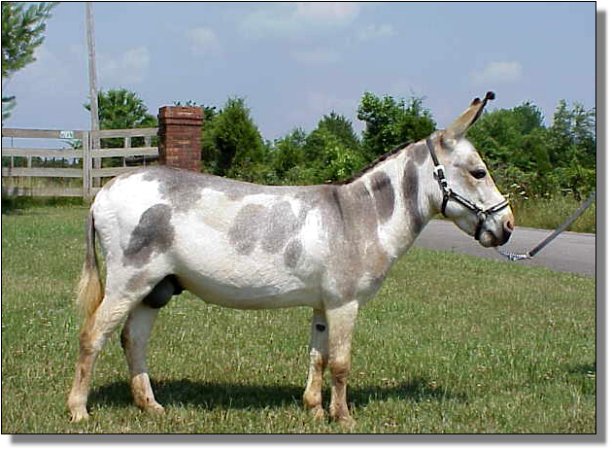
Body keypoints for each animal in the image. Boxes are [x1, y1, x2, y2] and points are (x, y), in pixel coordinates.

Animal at [68, 92, 514, 426]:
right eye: (478, 172)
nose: (508, 226)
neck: (361, 216)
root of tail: (105, 190)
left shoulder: (323, 304)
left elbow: (318, 356)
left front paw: (314, 409)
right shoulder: (345, 303)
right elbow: (341, 362)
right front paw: (344, 418)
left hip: (155, 287)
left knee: (132, 338)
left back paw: (151, 406)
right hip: (129, 280)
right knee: (93, 336)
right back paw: (78, 411)